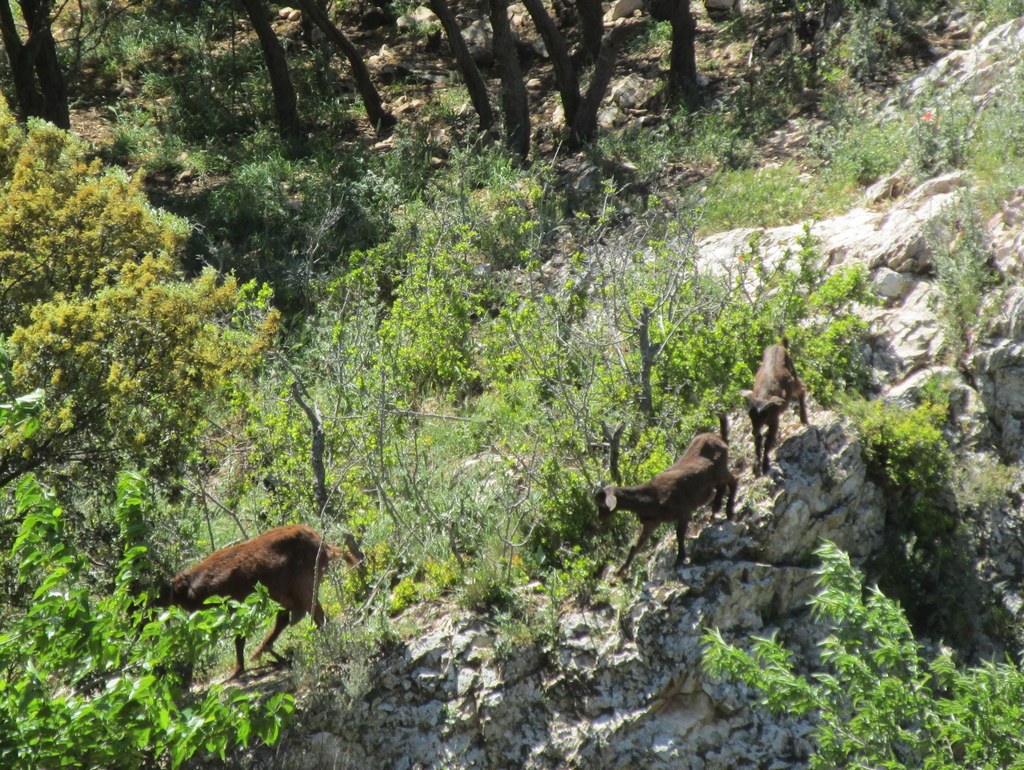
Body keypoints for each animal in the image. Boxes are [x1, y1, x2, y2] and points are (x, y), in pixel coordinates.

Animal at [157, 524, 354, 679]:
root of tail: (325, 545)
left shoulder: (236, 603)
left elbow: (239, 637)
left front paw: (236, 672)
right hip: (287, 592)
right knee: (289, 617)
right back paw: (263, 653)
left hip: (304, 583)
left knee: (316, 615)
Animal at [598, 415, 741, 577]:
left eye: (603, 504)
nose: (600, 518)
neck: (651, 498)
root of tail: (720, 438)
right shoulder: (651, 521)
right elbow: (636, 545)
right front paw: (620, 571)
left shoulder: (683, 510)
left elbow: (679, 534)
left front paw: (679, 559)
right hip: (713, 478)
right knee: (721, 488)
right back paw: (714, 513)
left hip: (721, 470)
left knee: (733, 481)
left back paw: (729, 513)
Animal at [745, 335, 806, 475]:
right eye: (750, 415)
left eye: (763, 415)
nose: (753, 431)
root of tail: (780, 344)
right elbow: (758, 441)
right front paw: (756, 466)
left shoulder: (774, 421)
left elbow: (768, 442)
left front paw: (765, 466)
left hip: (793, 377)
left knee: (802, 389)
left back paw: (804, 419)